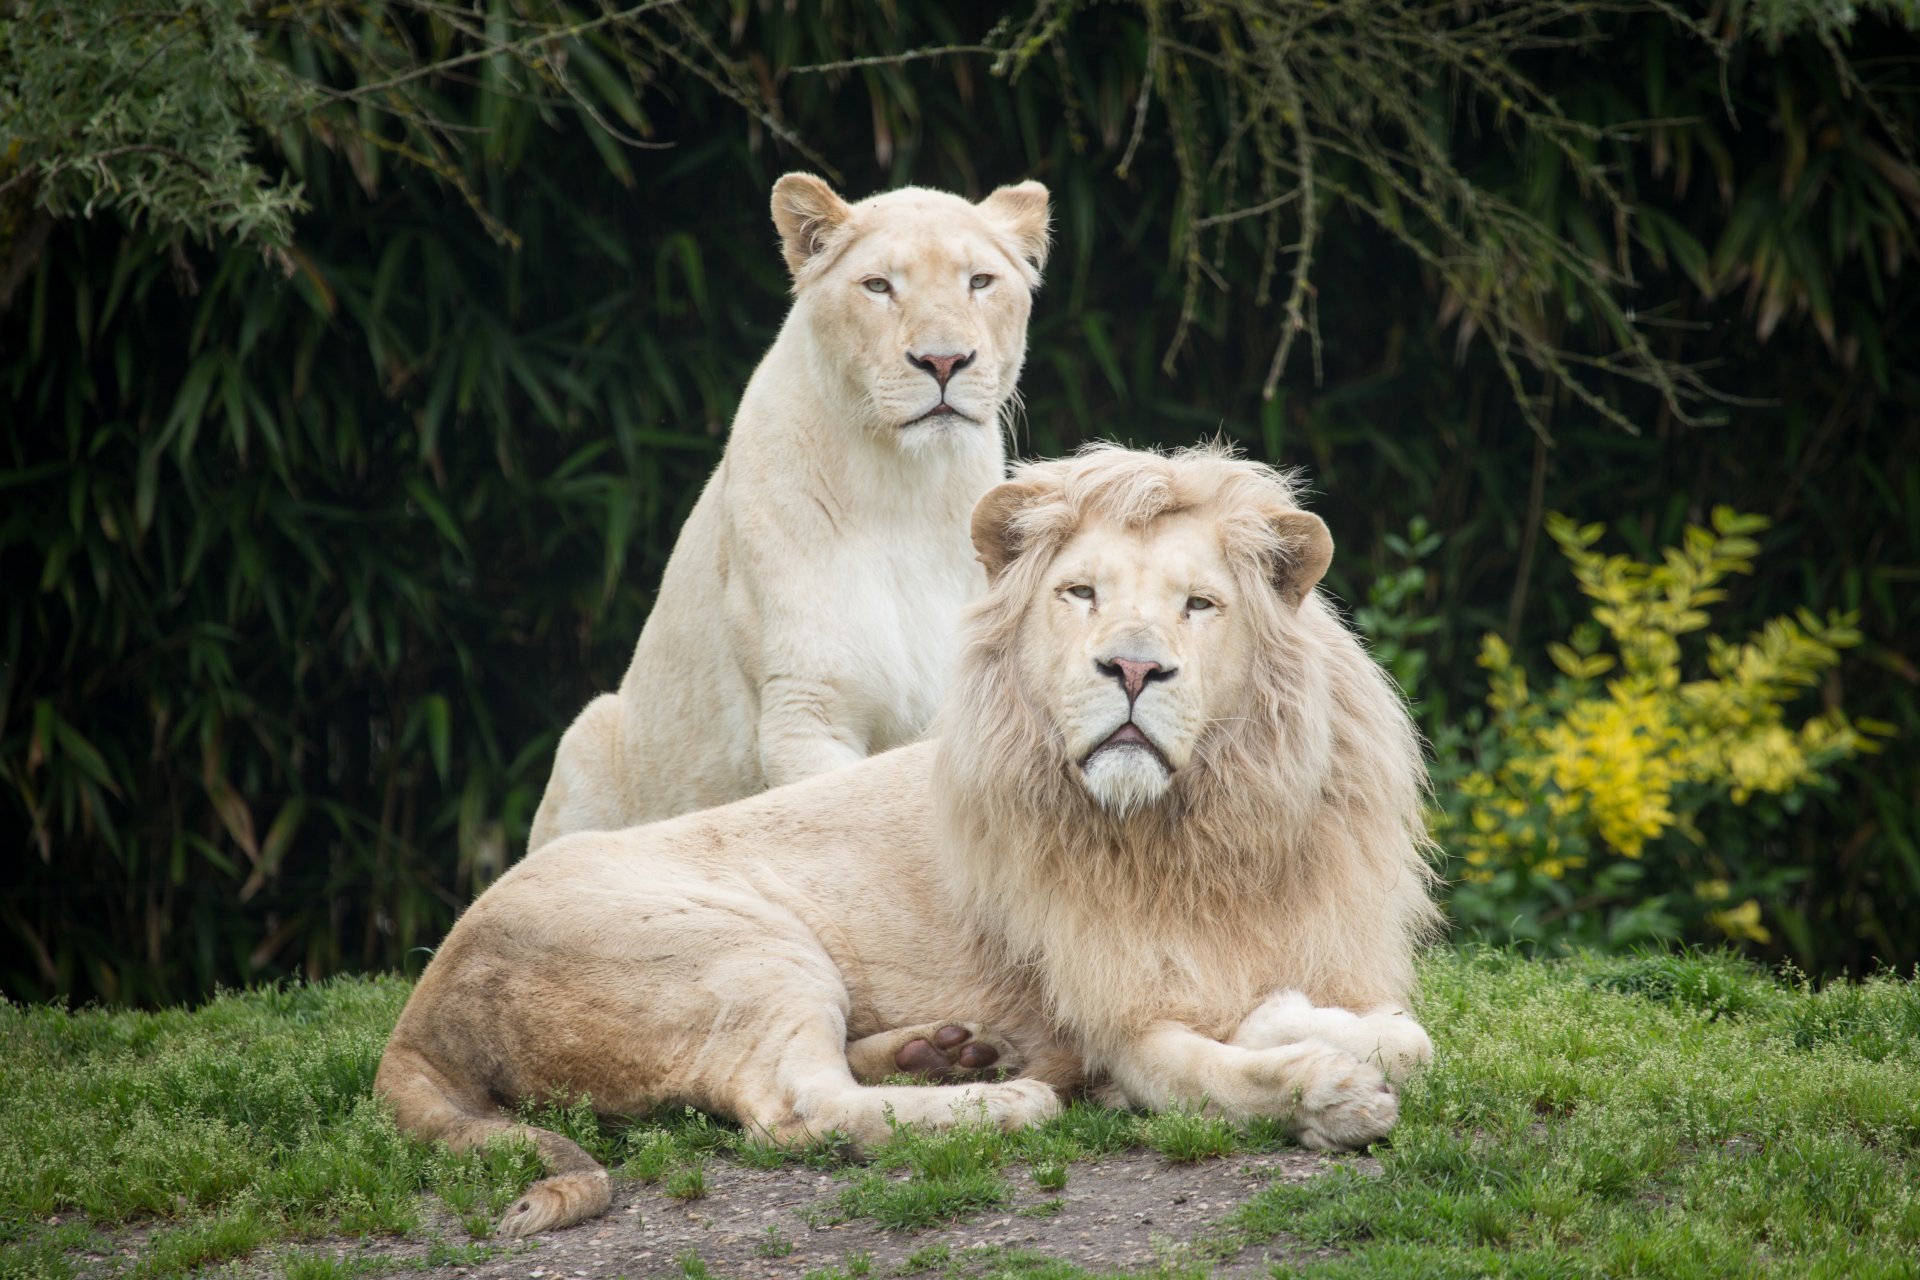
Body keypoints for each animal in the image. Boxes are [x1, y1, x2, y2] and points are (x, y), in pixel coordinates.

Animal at [378, 444, 1441, 1237]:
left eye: (1199, 605)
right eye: (1081, 595)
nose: (1134, 669)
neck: (1205, 828)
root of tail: (420, 1009)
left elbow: (1393, 1033)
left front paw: (1323, 1026)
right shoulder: (1119, 1031)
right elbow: (1220, 1075)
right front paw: (1328, 1094)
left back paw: (954, 1054)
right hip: (746, 948)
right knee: (798, 1107)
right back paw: (1001, 1104)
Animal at [527, 173, 1051, 852]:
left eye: (980, 282)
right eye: (878, 286)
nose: (943, 362)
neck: (905, 491)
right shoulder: (804, 710)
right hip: (587, 735)